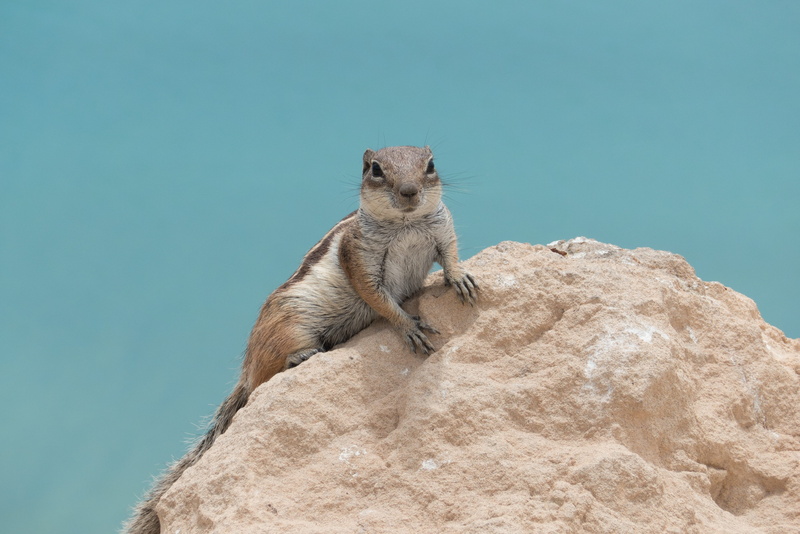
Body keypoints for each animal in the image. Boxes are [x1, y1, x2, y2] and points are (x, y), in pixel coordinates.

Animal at [124, 145, 478, 533]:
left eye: (430, 165)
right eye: (375, 169)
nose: (409, 191)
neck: (406, 224)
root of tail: (246, 370)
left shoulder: (443, 232)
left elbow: (451, 254)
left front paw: (459, 277)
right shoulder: (359, 260)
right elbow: (378, 299)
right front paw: (408, 326)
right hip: (290, 327)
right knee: (267, 376)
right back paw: (300, 357)